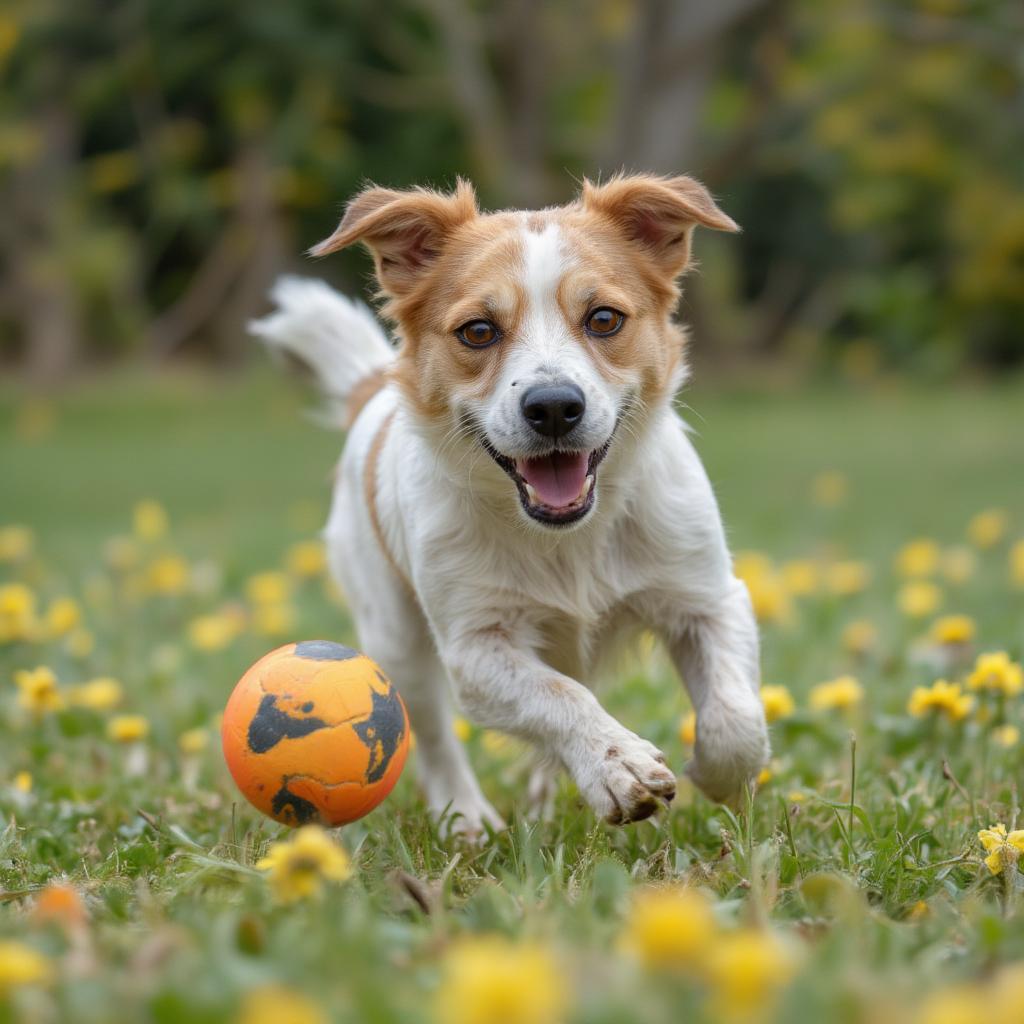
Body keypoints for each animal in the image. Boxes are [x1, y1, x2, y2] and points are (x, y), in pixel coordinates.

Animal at [249, 174, 770, 831]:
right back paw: (468, 818)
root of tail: (372, 392)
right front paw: (615, 763)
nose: (553, 406)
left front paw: (717, 773)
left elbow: (736, 718)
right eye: (478, 330)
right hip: (395, 638)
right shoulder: (475, 649)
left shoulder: (709, 599)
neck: (568, 537)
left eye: (604, 319)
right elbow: (561, 696)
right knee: (432, 734)